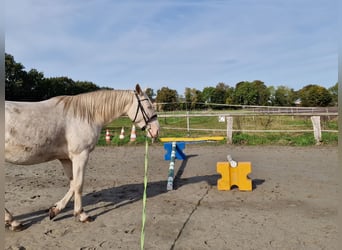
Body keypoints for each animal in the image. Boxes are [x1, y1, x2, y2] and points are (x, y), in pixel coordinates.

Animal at [4, 83, 160, 230]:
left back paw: (12, 221)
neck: (84, 115)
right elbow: (79, 184)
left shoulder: (66, 158)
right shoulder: (81, 155)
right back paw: (12, 221)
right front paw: (82, 214)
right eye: (148, 106)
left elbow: (73, 184)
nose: (156, 131)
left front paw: (55, 210)